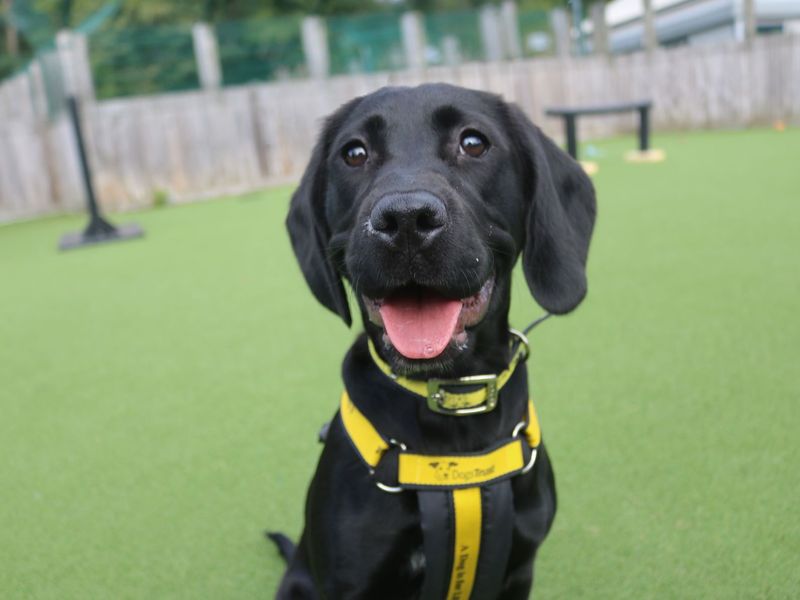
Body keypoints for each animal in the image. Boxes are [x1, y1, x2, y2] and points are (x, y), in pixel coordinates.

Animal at [276, 84, 592, 600]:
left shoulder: (519, 569)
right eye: (354, 153)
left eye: (473, 143)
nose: (405, 219)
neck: (452, 411)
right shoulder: (351, 581)